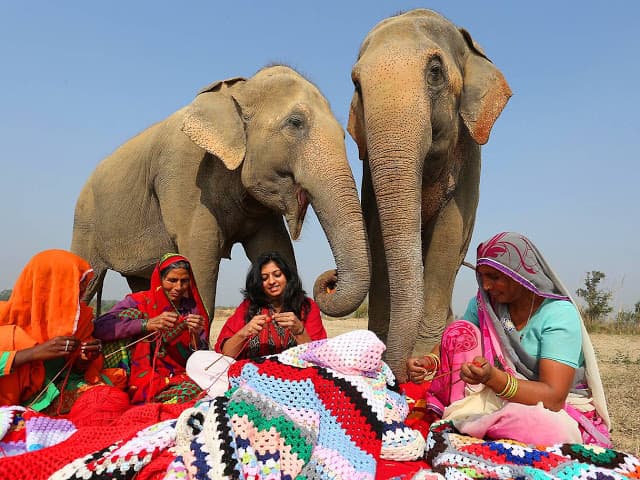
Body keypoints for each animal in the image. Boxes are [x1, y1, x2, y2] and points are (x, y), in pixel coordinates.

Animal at [71, 65, 370, 343]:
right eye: (295, 123)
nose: (330, 279)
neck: (239, 92)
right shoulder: (186, 175)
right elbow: (201, 255)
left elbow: (274, 247)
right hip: (85, 222)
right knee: (88, 283)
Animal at [347, 9, 512, 381]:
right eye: (357, 85)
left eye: (435, 71)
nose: (401, 373)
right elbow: (377, 238)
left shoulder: (468, 163)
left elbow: (448, 238)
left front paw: (425, 362)